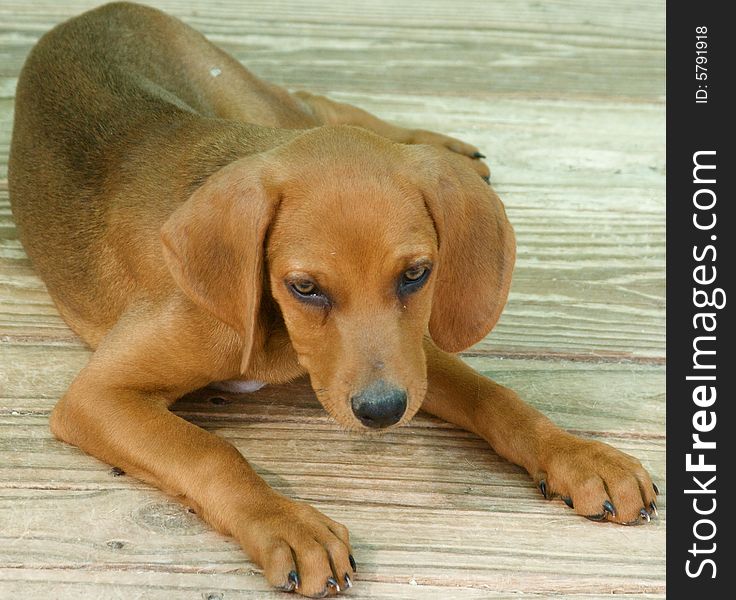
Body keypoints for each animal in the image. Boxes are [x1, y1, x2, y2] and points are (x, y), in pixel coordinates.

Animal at [8, 2, 660, 596]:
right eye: (304, 288)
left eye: (416, 274)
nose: (382, 412)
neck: (275, 331)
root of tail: (95, 12)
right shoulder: (97, 396)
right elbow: (209, 451)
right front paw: (286, 523)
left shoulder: (407, 358)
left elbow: (494, 396)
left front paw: (579, 454)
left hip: (251, 99)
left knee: (314, 102)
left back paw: (439, 147)